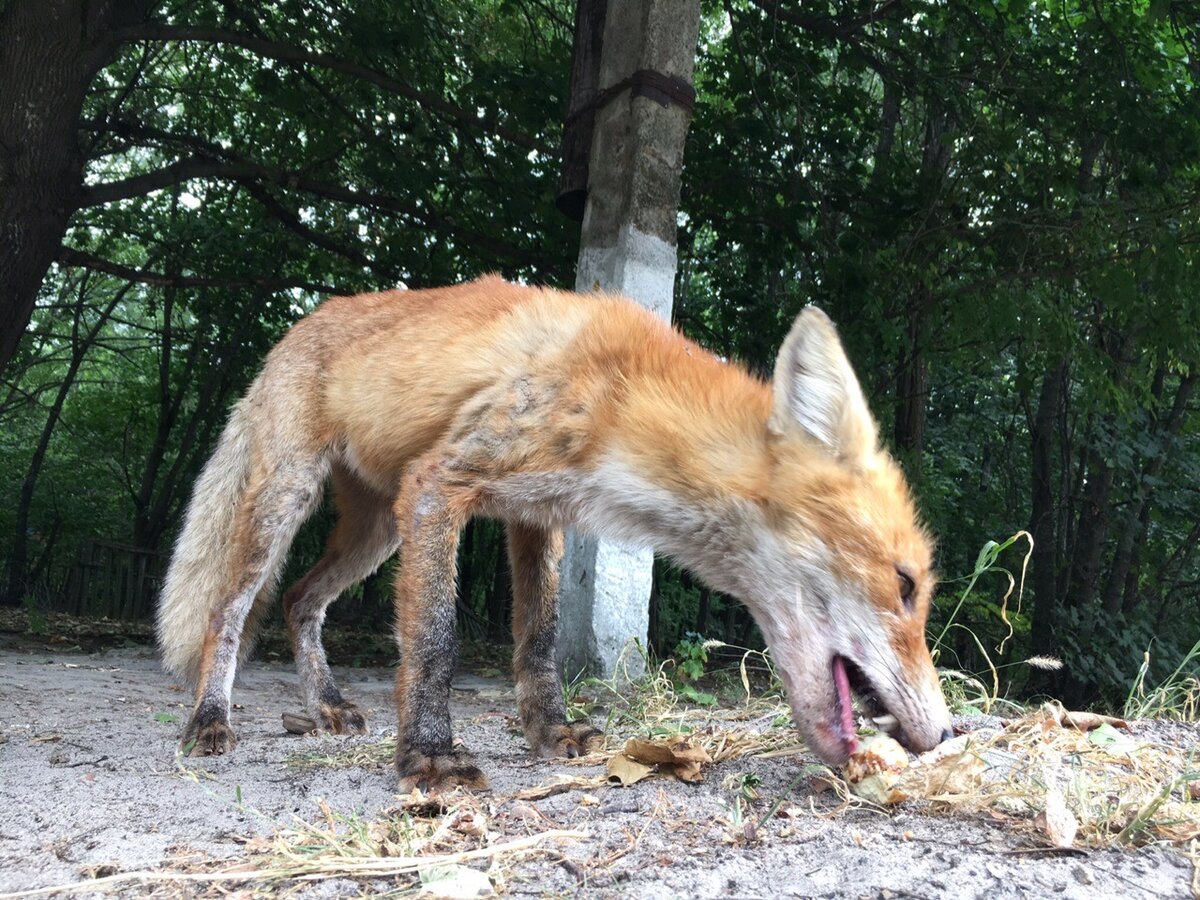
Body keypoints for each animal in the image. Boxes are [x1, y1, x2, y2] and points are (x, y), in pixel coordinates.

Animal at [159, 273, 950, 787]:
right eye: (905, 585)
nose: (949, 733)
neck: (623, 405)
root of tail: (295, 327)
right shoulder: (442, 486)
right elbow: (436, 642)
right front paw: (429, 755)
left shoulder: (535, 515)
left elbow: (537, 641)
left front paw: (549, 732)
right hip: (293, 502)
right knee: (230, 612)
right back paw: (210, 720)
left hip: (376, 531)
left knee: (300, 600)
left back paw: (324, 706)